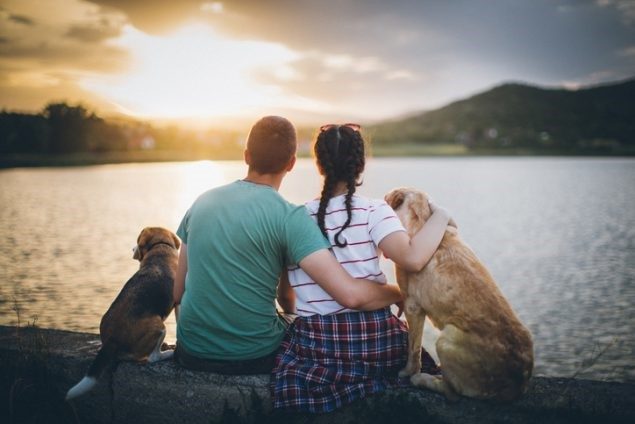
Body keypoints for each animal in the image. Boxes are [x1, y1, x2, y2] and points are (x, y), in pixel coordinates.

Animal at [66, 227, 180, 400]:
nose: (132, 249)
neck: (160, 246)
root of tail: (111, 342)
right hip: (158, 325)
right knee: (152, 358)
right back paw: (168, 352)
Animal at [386, 189, 536, 400]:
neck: (422, 220)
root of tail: (518, 384)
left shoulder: (412, 306)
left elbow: (413, 348)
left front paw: (408, 372)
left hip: (445, 340)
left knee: (452, 392)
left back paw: (423, 379)